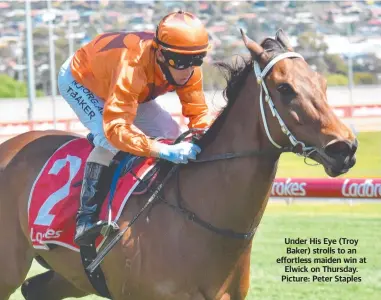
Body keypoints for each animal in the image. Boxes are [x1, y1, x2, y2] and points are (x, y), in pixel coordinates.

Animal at [0, 29, 356, 300]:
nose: (346, 148)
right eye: (285, 88)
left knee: (34, 289)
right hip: (10, 268)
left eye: (322, 83)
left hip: (72, 274)